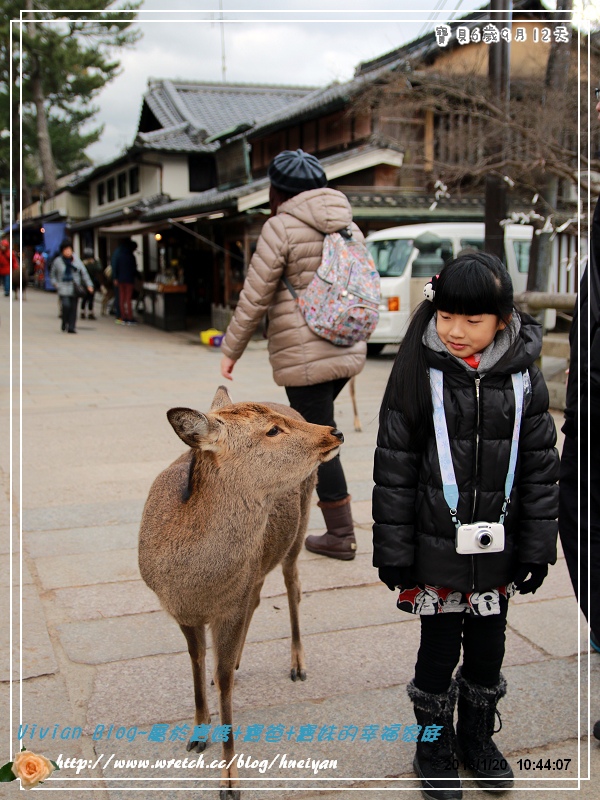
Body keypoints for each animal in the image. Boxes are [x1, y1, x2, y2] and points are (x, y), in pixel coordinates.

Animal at [138, 384, 344, 796]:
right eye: (272, 431)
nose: (334, 431)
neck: (198, 584)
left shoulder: (228, 606)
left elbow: (226, 685)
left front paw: (230, 781)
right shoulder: (180, 610)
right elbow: (197, 661)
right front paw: (197, 733)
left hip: (298, 528)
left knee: (293, 584)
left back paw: (297, 664)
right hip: (262, 557)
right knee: (260, 593)